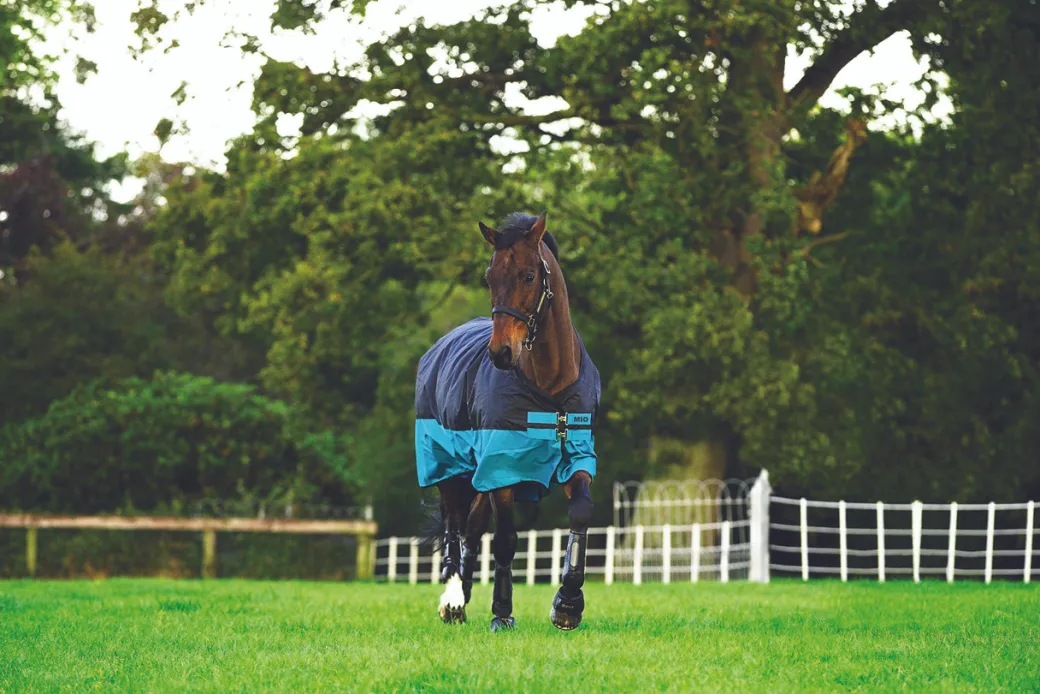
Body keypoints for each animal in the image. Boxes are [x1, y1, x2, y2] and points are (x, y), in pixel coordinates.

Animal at [414, 211, 600, 632]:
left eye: (529, 275)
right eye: (489, 277)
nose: (500, 352)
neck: (549, 385)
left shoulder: (577, 454)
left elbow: (581, 513)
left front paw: (568, 604)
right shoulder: (502, 468)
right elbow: (505, 539)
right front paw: (502, 612)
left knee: (471, 528)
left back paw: (464, 594)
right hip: (450, 467)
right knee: (454, 525)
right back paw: (453, 599)